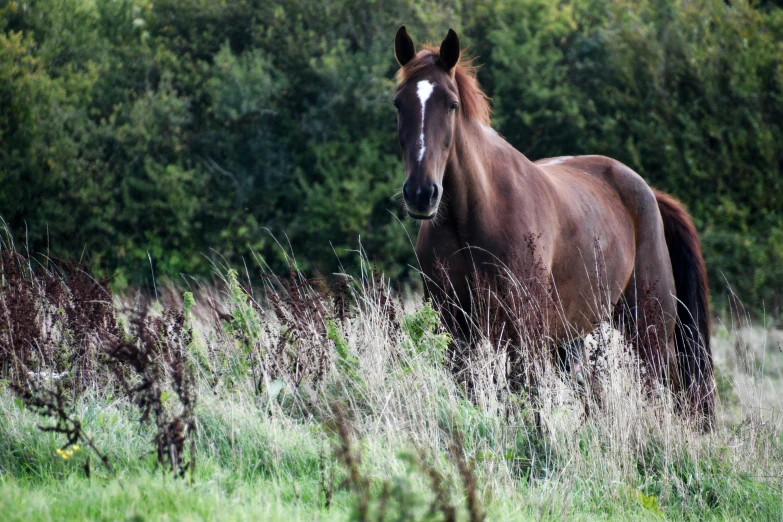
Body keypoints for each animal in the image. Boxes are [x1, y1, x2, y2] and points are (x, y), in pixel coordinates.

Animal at [392, 26, 716, 420]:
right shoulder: (454, 327)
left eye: (451, 105)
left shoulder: (523, 331)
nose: (421, 193)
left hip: (649, 327)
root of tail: (648, 192)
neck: (476, 215)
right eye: (399, 104)